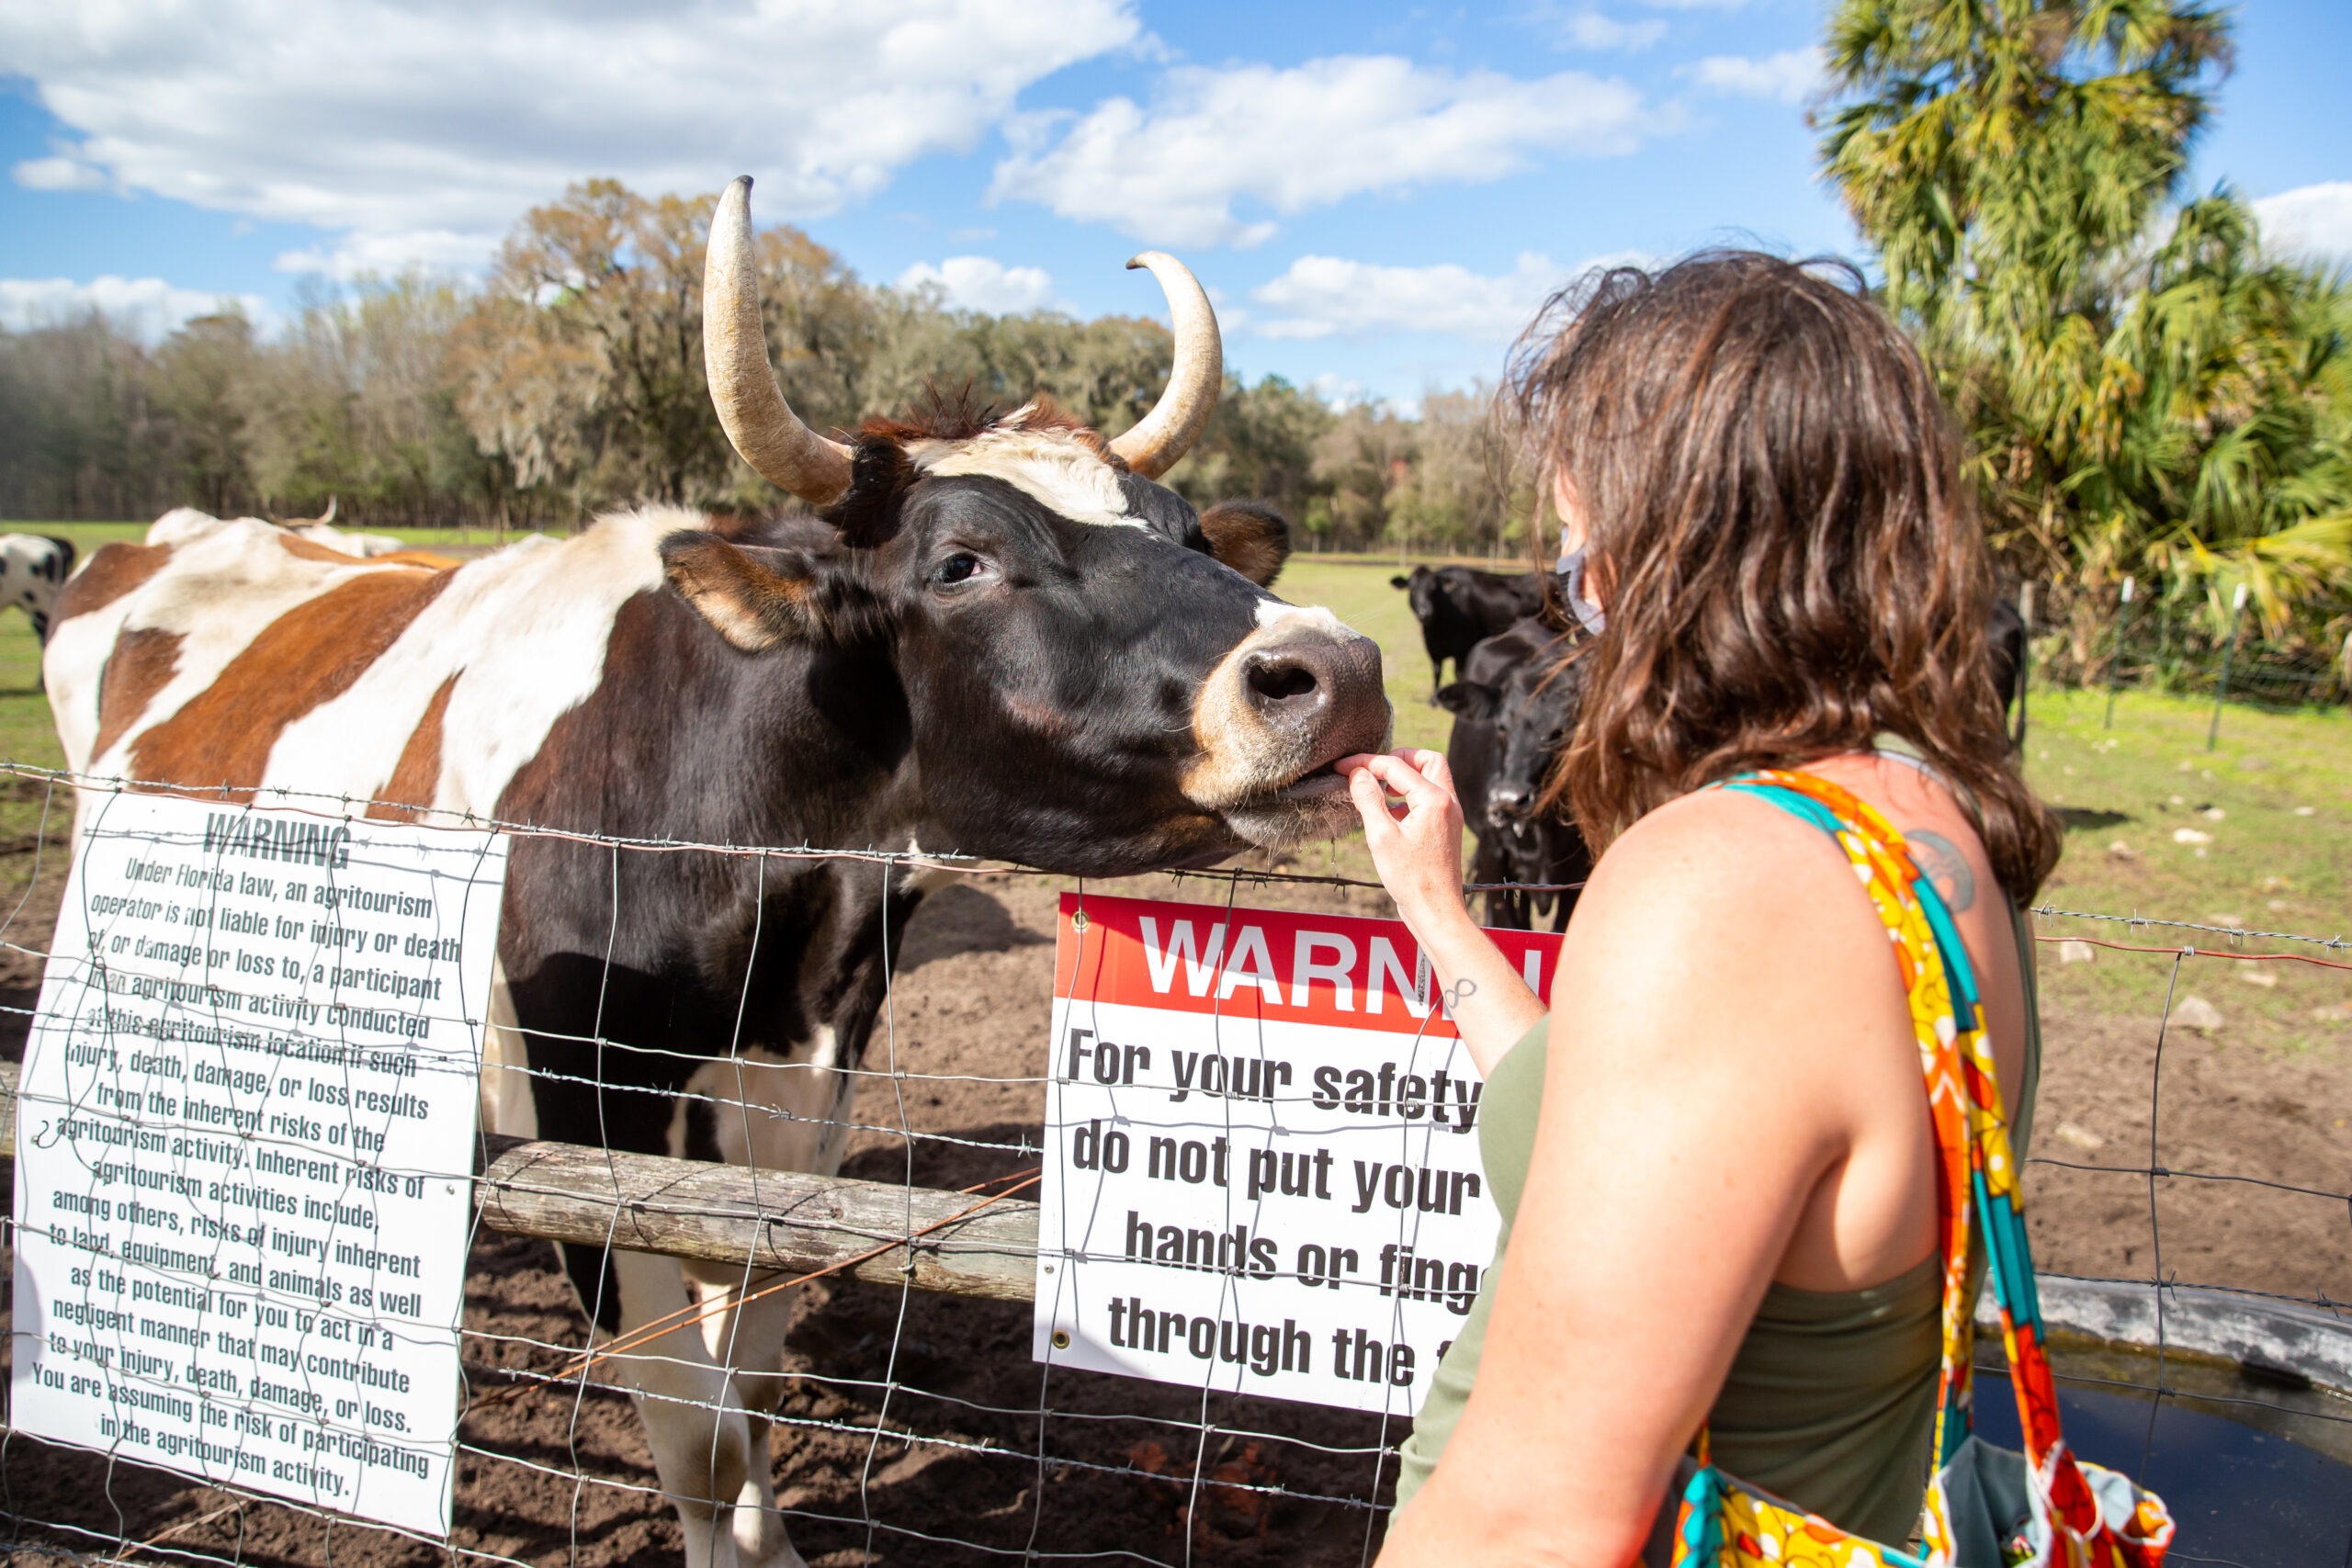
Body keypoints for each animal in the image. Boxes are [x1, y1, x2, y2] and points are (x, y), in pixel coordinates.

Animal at [43, 177, 1389, 1568]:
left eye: (1184, 531)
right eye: (961, 560)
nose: (1337, 669)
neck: (770, 918)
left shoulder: (799, 1117)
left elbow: (746, 1377)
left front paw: (772, 1540)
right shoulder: (583, 1136)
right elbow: (691, 1427)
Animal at [1389, 563, 1547, 700]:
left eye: (1433, 590)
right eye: (1412, 589)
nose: (1425, 613)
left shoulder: (1462, 649)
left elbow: (1459, 675)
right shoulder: (1434, 650)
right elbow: (1437, 672)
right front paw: (1433, 699)